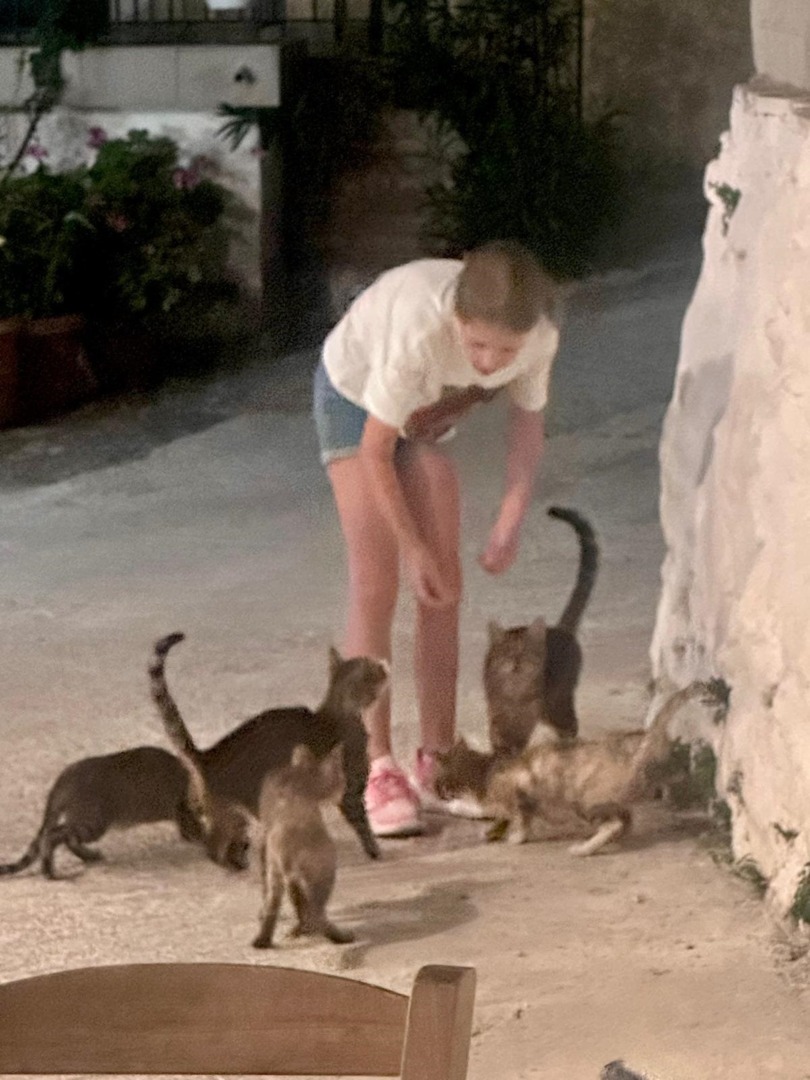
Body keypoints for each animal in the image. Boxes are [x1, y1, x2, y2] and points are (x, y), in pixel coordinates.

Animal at [0, 745, 209, 879]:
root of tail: (67, 775)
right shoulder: (185, 811)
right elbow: (194, 831)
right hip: (94, 818)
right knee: (56, 834)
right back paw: (50, 867)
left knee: (64, 836)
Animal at [148, 632, 389, 865]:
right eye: (374, 668)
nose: (384, 663)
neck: (339, 712)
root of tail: (209, 755)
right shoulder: (350, 791)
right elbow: (362, 824)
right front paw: (375, 851)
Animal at [252, 742, 353, 949]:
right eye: (341, 779)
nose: (343, 790)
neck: (301, 774)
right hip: (325, 868)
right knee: (316, 910)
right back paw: (337, 936)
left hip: (276, 871)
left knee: (274, 904)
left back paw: (264, 940)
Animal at [434, 680, 717, 854]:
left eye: (436, 780)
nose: (436, 792)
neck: (484, 769)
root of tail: (641, 742)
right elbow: (503, 816)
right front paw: (494, 830)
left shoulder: (520, 795)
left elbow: (518, 818)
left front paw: (516, 836)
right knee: (626, 821)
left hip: (584, 801)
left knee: (615, 823)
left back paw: (585, 849)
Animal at [484, 505, 599, 752]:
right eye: (507, 652)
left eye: (526, 652)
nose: (516, 664)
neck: (513, 692)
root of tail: (561, 630)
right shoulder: (496, 709)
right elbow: (498, 732)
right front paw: (500, 749)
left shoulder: (529, 711)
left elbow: (518, 736)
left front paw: (511, 752)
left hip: (555, 703)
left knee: (570, 724)